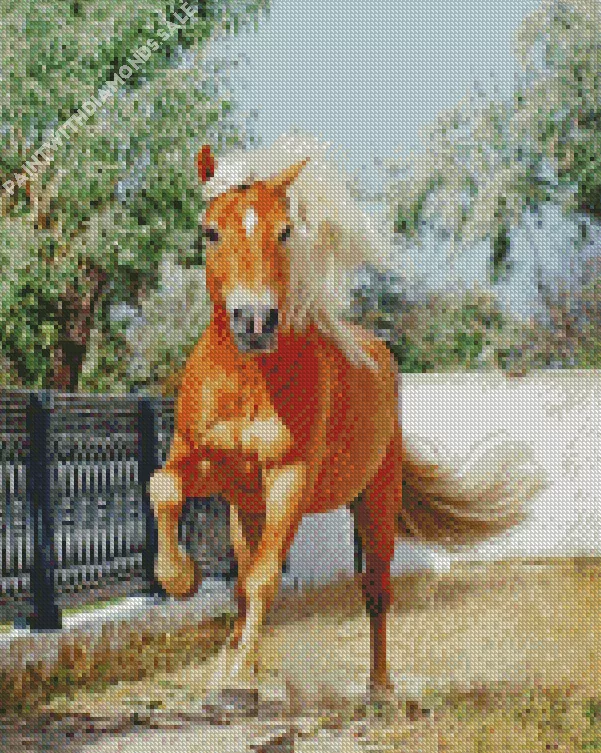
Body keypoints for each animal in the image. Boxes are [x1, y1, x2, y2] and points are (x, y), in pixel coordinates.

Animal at [149, 134, 543, 706]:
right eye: (211, 231)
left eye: (284, 231)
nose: (254, 321)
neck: (248, 381)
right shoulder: (209, 463)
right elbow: (164, 489)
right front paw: (180, 580)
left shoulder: (291, 478)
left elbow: (266, 578)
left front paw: (237, 674)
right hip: (248, 509)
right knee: (244, 580)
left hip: (374, 503)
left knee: (375, 590)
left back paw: (377, 689)